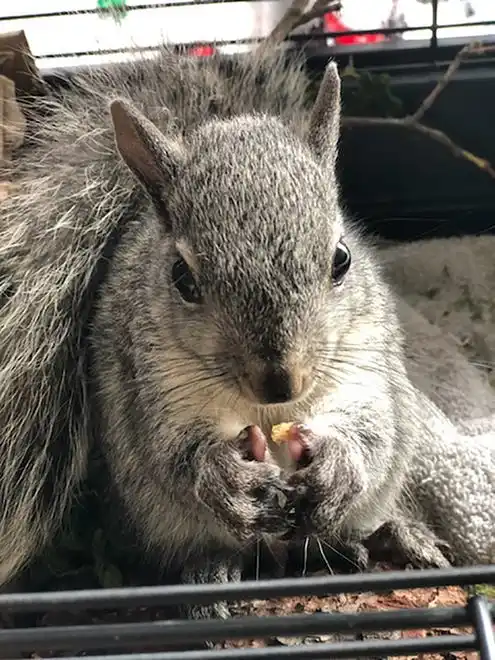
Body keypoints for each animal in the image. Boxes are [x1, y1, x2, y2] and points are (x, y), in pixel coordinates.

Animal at [0, 46, 492, 620]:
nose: (281, 383)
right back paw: (211, 571)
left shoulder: (365, 357)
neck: (270, 413)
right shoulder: (152, 384)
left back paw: (390, 534)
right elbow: (178, 455)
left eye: (341, 259)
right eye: (182, 278)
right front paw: (223, 476)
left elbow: (371, 429)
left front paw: (339, 465)